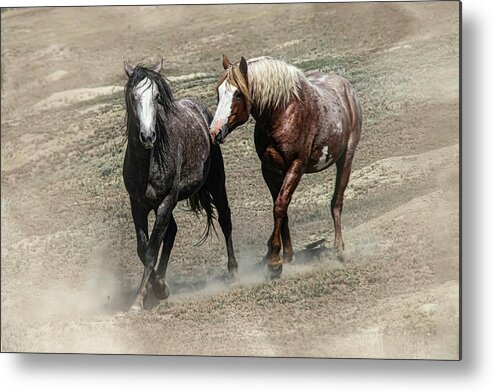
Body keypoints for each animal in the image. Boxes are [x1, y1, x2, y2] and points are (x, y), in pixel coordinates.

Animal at [124, 61, 237, 310]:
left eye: (157, 96)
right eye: (133, 96)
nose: (148, 136)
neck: (149, 162)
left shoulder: (166, 200)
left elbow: (151, 250)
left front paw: (139, 299)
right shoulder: (138, 204)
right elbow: (142, 248)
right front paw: (159, 286)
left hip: (216, 184)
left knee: (225, 219)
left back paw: (233, 272)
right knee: (172, 232)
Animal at [209, 56, 362, 278]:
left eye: (238, 93)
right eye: (219, 92)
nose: (215, 131)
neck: (282, 113)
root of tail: (348, 88)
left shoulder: (296, 165)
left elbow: (280, 206)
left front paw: (274, 260)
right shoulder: (269, 170)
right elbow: (281, 209)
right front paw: (287, 255)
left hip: (346, 158)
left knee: (337, 202)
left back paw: (339, 249)